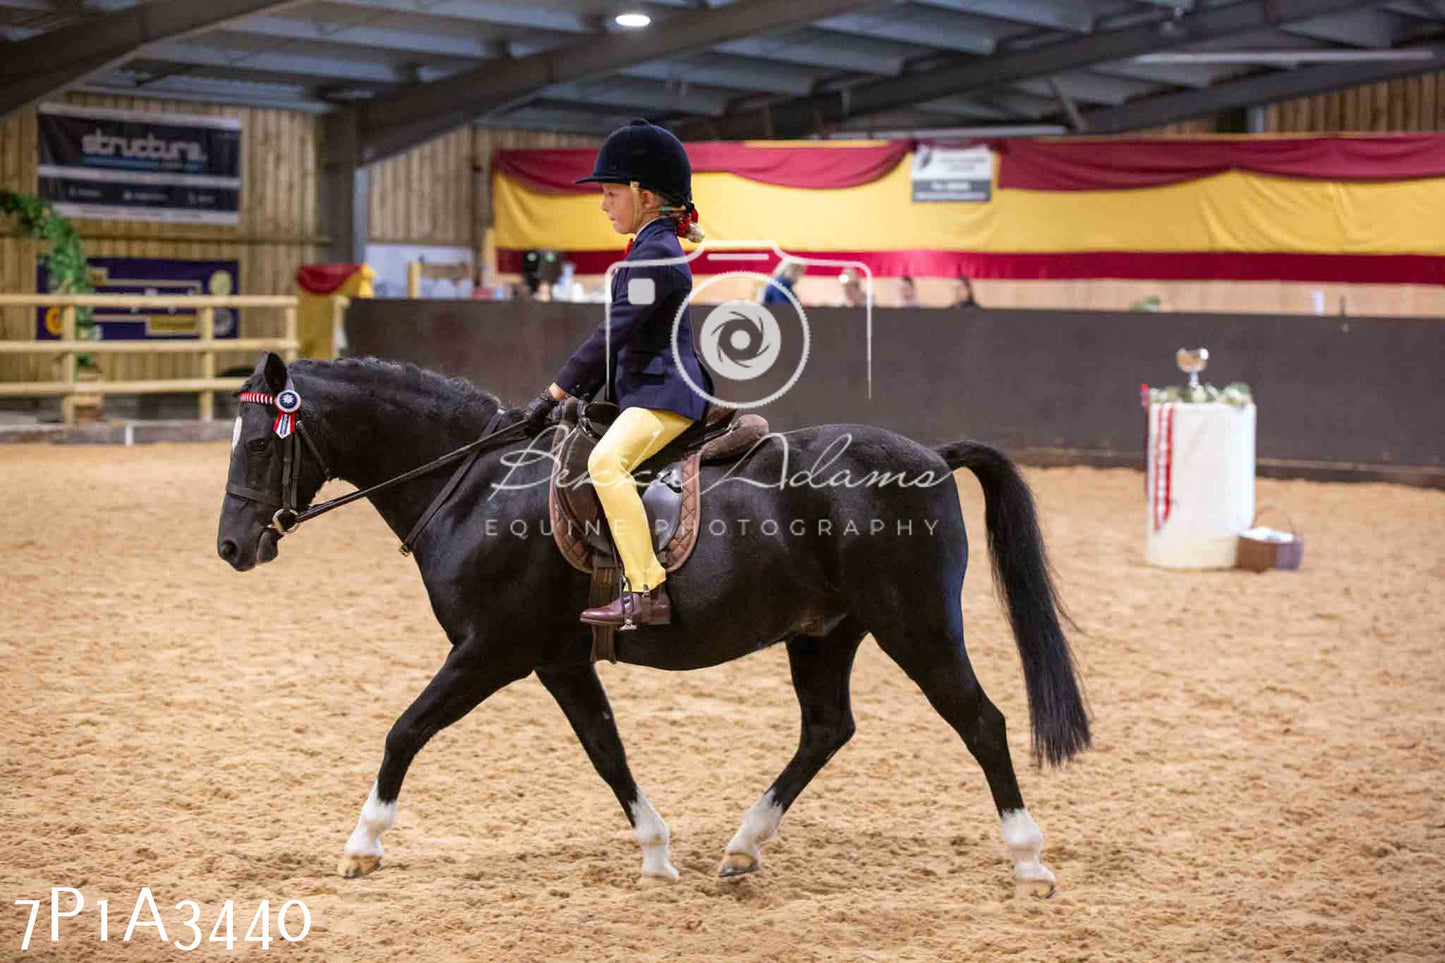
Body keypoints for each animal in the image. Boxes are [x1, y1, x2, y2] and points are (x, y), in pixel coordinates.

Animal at [219, 351, 1086, 890]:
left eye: (260, 443)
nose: (231, 545)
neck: (477, 482)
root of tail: (930, 457)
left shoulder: (488, 650)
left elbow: (404, 730)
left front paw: (361, 845)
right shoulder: (558, 660)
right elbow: (607, 751)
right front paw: (658, 855)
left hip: (917, 624)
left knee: (980, 721)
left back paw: (1029, 861)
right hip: (823, 631)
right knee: (826, 728)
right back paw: (741, 848)